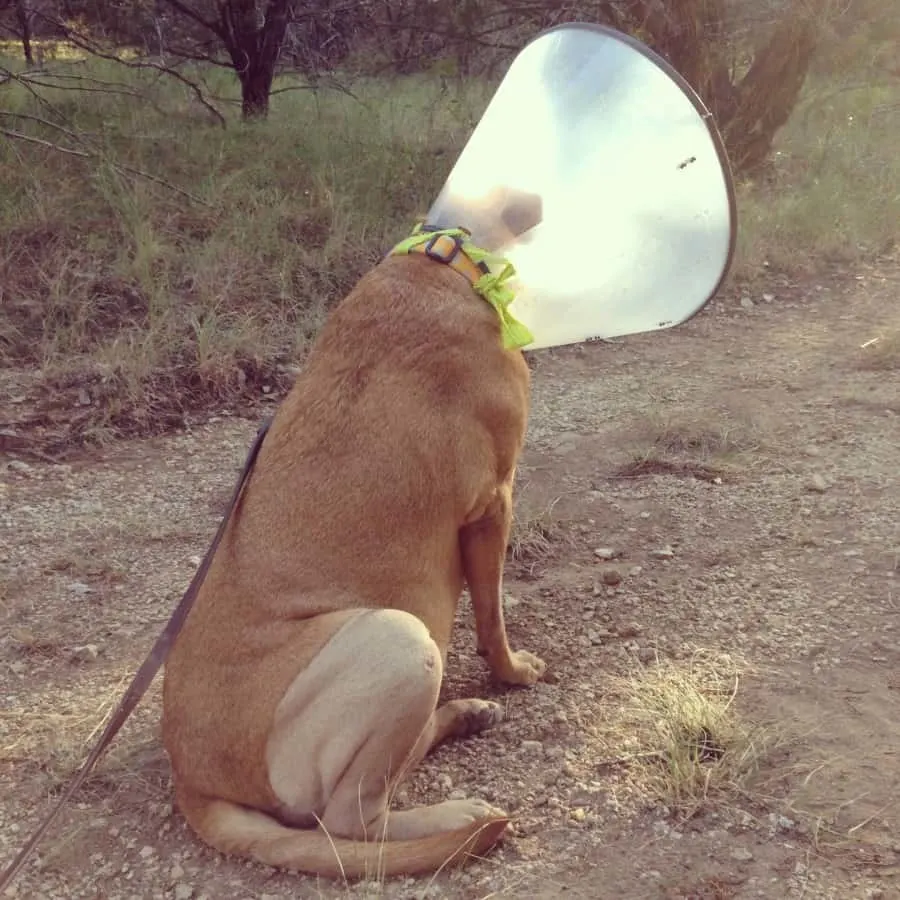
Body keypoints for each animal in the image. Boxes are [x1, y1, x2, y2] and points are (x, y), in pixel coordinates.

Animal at [160, 193, 548, 876]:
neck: (441, 256)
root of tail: (191, 777)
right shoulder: (493, 502)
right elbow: (493, 617)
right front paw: (513, 671)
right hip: (397, 638)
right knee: (352, 817)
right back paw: (459, 815)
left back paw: (463, 716)